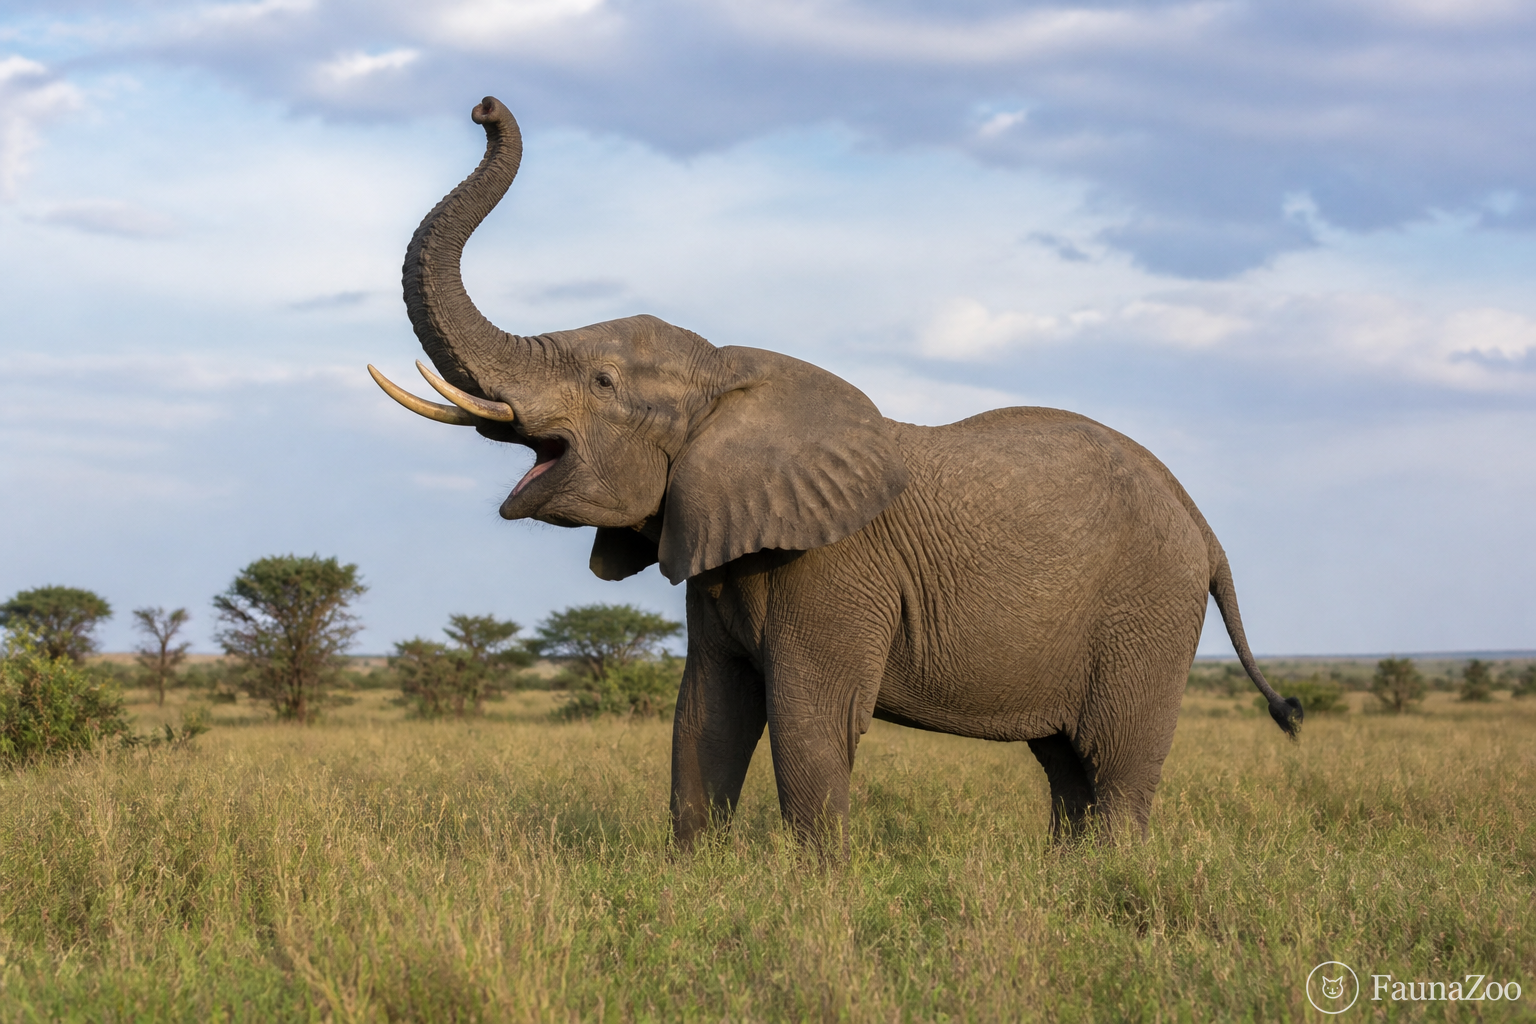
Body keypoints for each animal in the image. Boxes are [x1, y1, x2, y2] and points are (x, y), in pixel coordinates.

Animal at [369, 96, 1302, 854]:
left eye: (602, 384)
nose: (484, 107)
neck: (731, 376)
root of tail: (1202, 523)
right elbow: (704, 715)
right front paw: (696, 878)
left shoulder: (834, 567)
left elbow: (808, 721)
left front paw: (816, 889)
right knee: (1066, 763)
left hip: (1148, 611)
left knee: (1114, 764)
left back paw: (1113, 876)